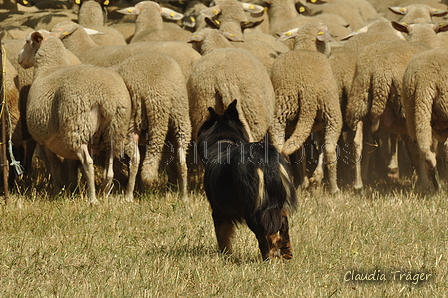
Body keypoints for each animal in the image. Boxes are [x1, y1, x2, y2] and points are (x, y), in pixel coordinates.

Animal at [18, 29, 139, 204]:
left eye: (27, 41)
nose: (19, 58)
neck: (49, 67)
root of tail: (106, 97)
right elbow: (71, 164)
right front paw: (72, 187)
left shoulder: (46, 140)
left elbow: (55, 167)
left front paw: (56, 191)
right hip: (118, 127)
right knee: (125, 161)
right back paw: (121, 195)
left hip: (78, 126)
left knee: (88, 163)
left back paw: (93, 199)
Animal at [197, 100, 298, 260]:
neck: (223, 143)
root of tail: (261, 156)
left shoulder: (218, 211)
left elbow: (222, 237)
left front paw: (225, 255)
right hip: (276, 203)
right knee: (282, 221)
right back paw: (285, 249)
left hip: (252, 208)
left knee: (264, 233)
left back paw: (268, 256)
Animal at [270, 22, 344, 192]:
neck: (306, 47)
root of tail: (307, 92)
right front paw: (315, 179)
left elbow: (301, 153)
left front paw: (308, 180)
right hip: (331, 111)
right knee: (330, 148)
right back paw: (334, 188)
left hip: (283, 110)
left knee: (281, 147)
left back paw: (291, 180)